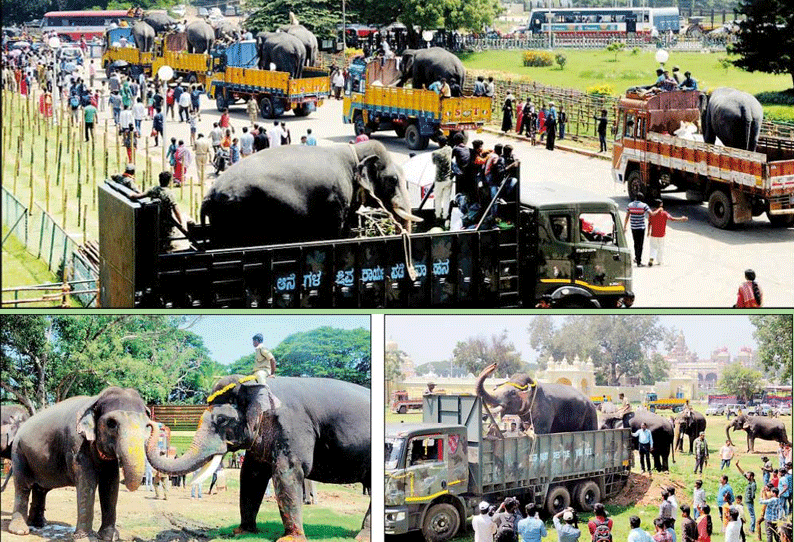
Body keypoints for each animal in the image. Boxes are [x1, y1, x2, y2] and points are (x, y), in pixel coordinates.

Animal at [8, 388, 150, 540]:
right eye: (111, 424)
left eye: (147, 426)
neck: (95, 399)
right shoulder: (77, 445)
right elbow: (87, 482)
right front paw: (86, 538)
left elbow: (110, 483)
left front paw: (109, 537)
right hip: (18, 452)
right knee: (23, 486)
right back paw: (20, 531)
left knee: (40, 489)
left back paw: (39, 524)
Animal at [144, 376, 370, 542]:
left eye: (222, 420)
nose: (151, 422)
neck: (254, 385)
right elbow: (251, 475)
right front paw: (242, 532)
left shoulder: (293, 426)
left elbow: (288, 472)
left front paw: (289, 540)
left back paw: (362, 536)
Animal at [198, 141, 420, 250]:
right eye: (393, 180)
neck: (354, 152)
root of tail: (208, 194)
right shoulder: (335, 199)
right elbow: (334, 234)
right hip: (235, 216)